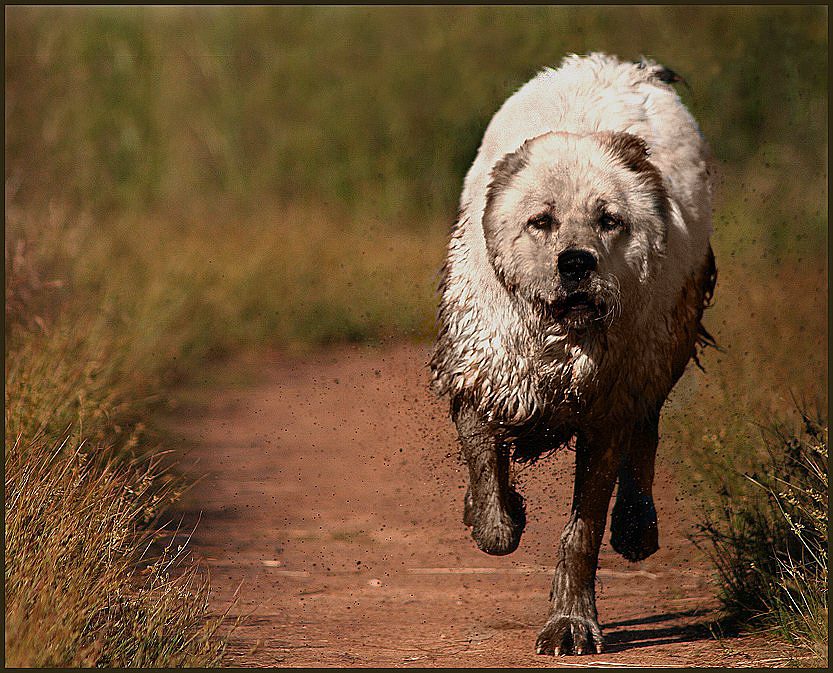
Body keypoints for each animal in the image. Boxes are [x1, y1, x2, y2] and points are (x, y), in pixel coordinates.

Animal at [428, 53, 716, 656]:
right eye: (542, 221)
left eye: (610, 219)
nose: (577, 262)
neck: (560, 336)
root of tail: (629, 67)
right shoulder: (485, 368)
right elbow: (488, 488)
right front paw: (497, 513)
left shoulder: (607, 409)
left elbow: (581, 533)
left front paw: (570, 622)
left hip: (661, 344)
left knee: (647, 429)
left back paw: (636, 527)